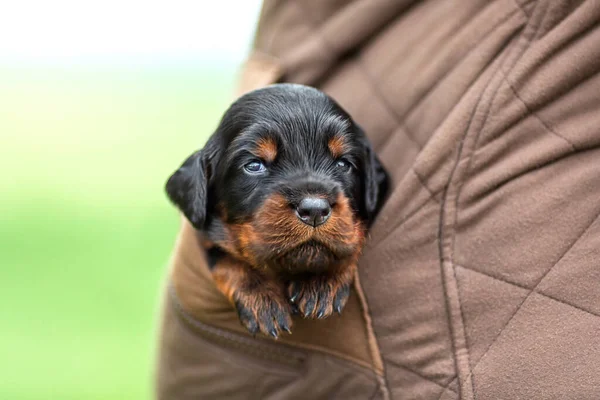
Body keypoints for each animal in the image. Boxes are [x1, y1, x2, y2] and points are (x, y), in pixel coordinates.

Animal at [165, 83, 390, 338]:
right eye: (254, 165)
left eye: (343, 163)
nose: (314, 210)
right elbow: (225, 259)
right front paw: (262, 298)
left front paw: (321, 279)